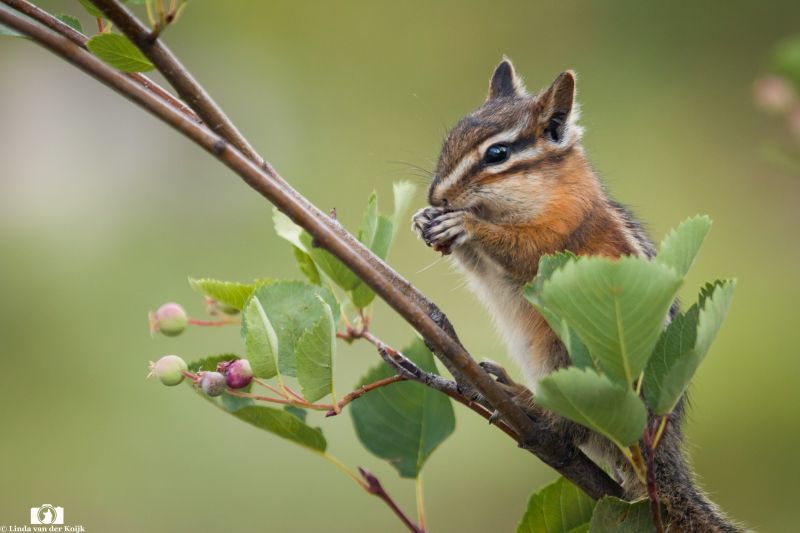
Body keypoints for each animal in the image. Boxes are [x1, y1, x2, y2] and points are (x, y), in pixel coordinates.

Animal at [412, 59, 741, 532]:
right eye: (449, 139)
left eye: (497, 154)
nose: (435, 195)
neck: (549, 191)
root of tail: (659, 448)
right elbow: (481, 266)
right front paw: (425, 219)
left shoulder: (559, 235)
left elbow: (520, 251)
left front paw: (466, 225)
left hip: (574, 358)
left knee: (574, 429)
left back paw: (527, 404)